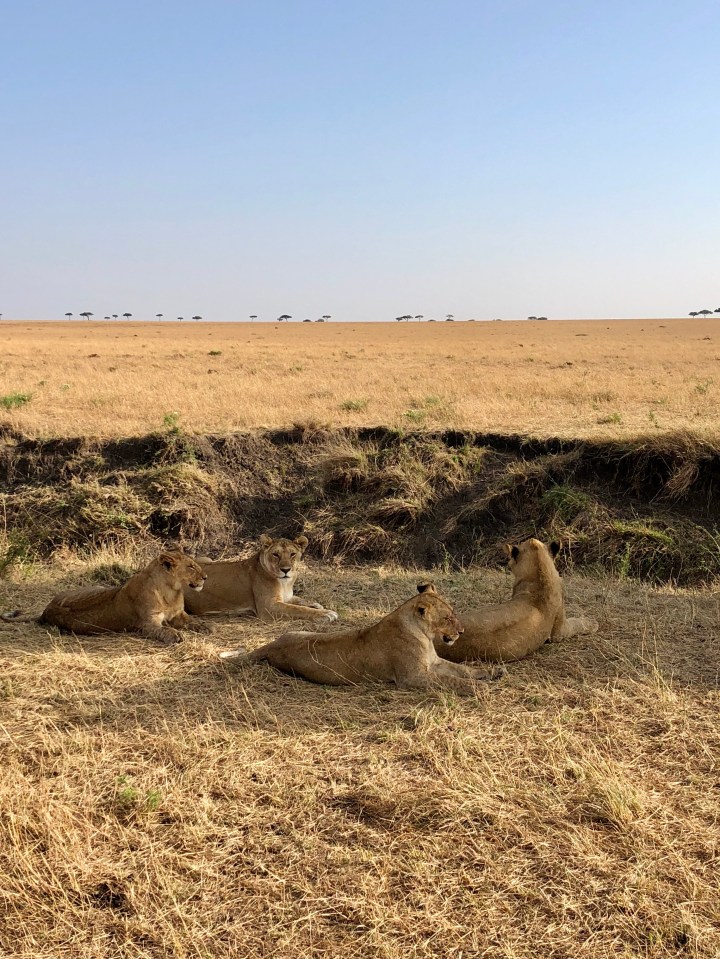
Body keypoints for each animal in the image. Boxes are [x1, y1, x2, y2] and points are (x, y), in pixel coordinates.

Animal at [37, 549, 207, 643]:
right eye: (191, 567)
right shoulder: (147, 624)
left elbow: (193, 621)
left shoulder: (178, 614)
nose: (205, 577)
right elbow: (164, 630)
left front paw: (204, 626)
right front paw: (176, 635)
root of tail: (47, 610)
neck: (171, 591)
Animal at [183, 534, 338, 623]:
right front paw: (326, 613)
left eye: (292, 554)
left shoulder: (286, 597)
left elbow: (300, 600)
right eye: (276, 554)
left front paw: (316, 605)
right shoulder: (268, 607)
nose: (286, 570)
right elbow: (298, 609)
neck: (285, 583)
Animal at [219, 583, 503, 694]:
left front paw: (491, 673)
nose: (461, 632)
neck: (424, 635)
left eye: (453, 614)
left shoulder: (434, 663)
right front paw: (480, 689)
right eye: (447, 618)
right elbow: (451, 681)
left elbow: (463, 669)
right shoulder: (413, 677)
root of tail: (274, 644)